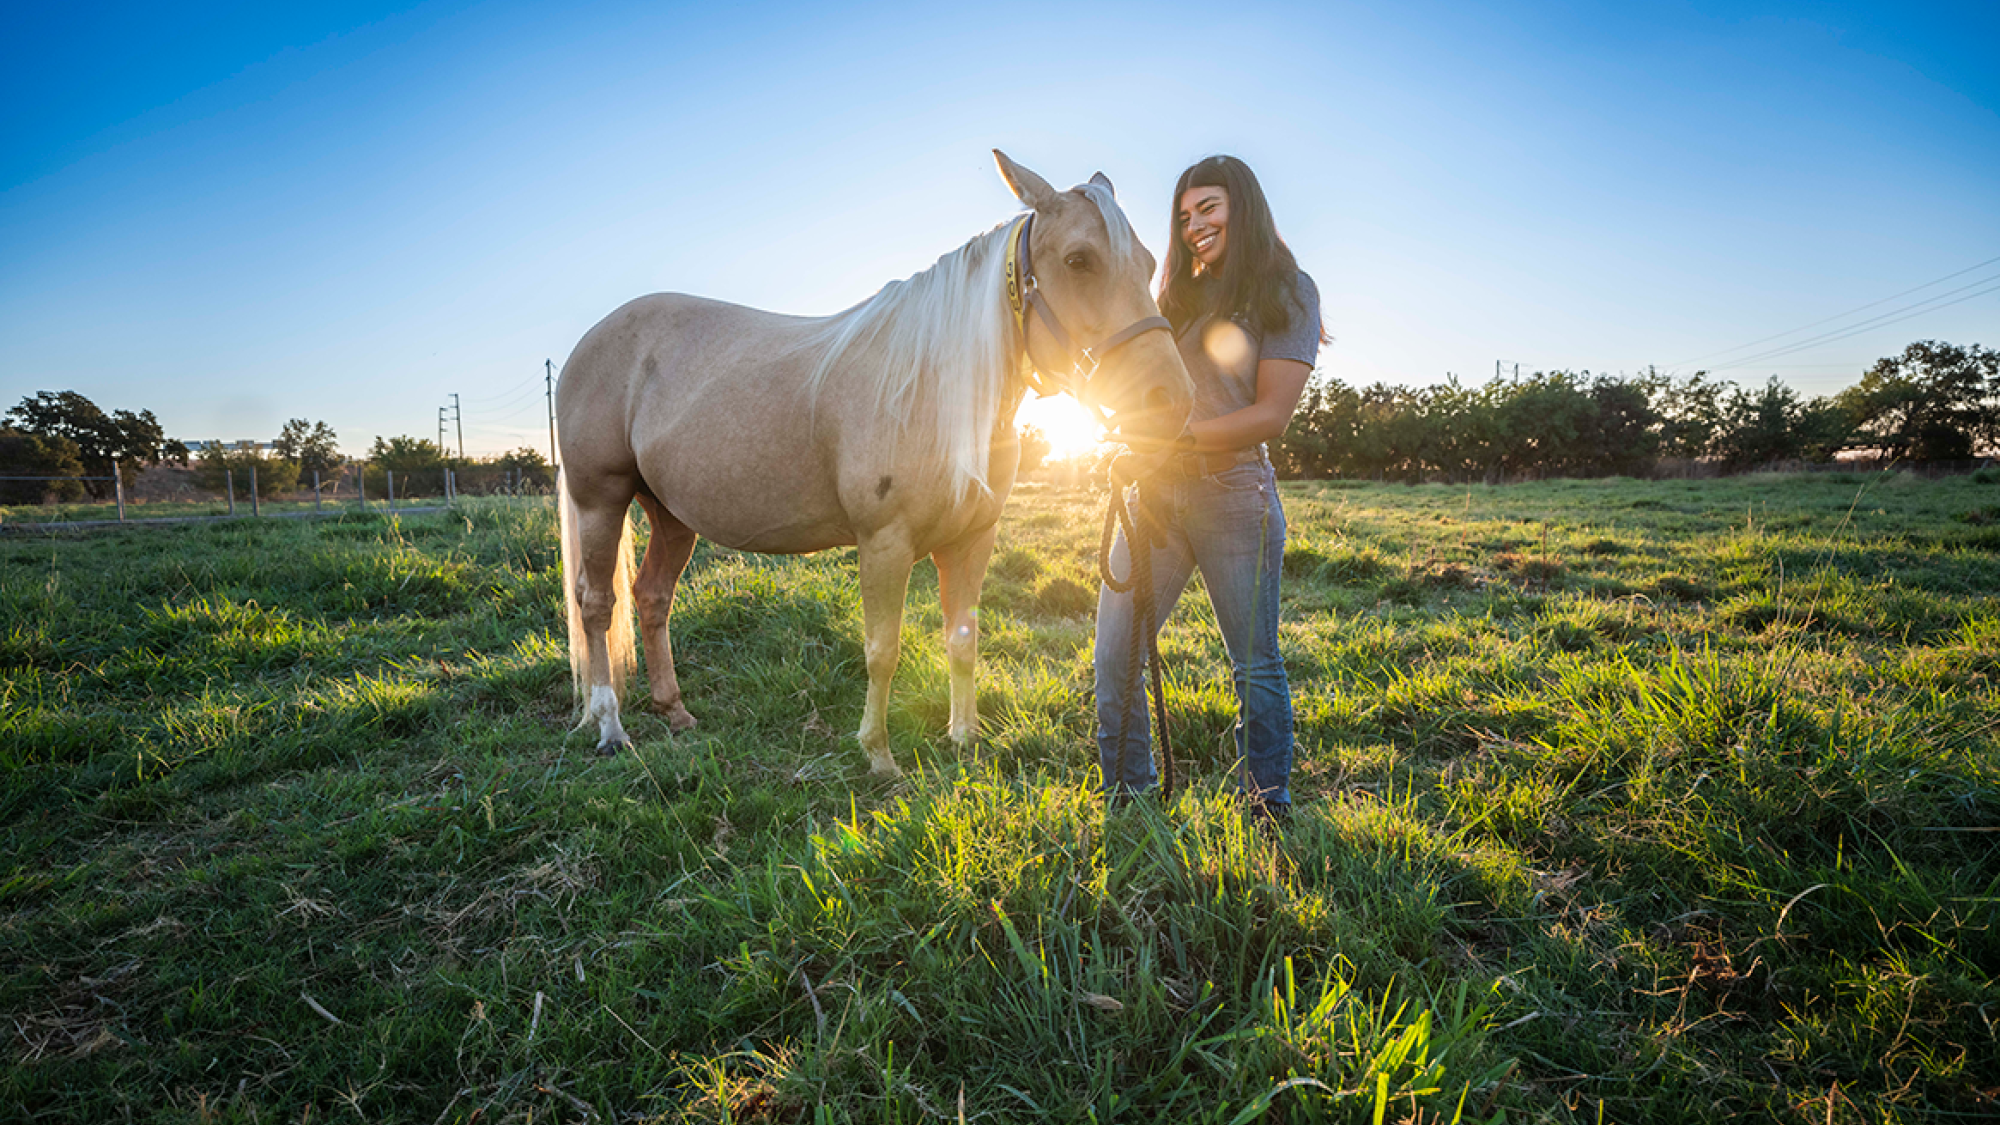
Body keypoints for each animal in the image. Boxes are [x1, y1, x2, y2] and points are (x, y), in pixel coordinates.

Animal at [554, 151, 1193, 776]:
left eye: (1148, 261)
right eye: (1079, 260)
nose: (1170, 399)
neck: (935, 391)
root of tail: (589, 342)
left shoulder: (972, 540)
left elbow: (963, 639)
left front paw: (964, 738)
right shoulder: (885, 543)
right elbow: (883, 650)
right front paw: (879, 754)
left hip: (671, 514)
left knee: (651, 597)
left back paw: (675, 712)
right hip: (601, 501)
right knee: (598, 605)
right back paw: (610, 729)